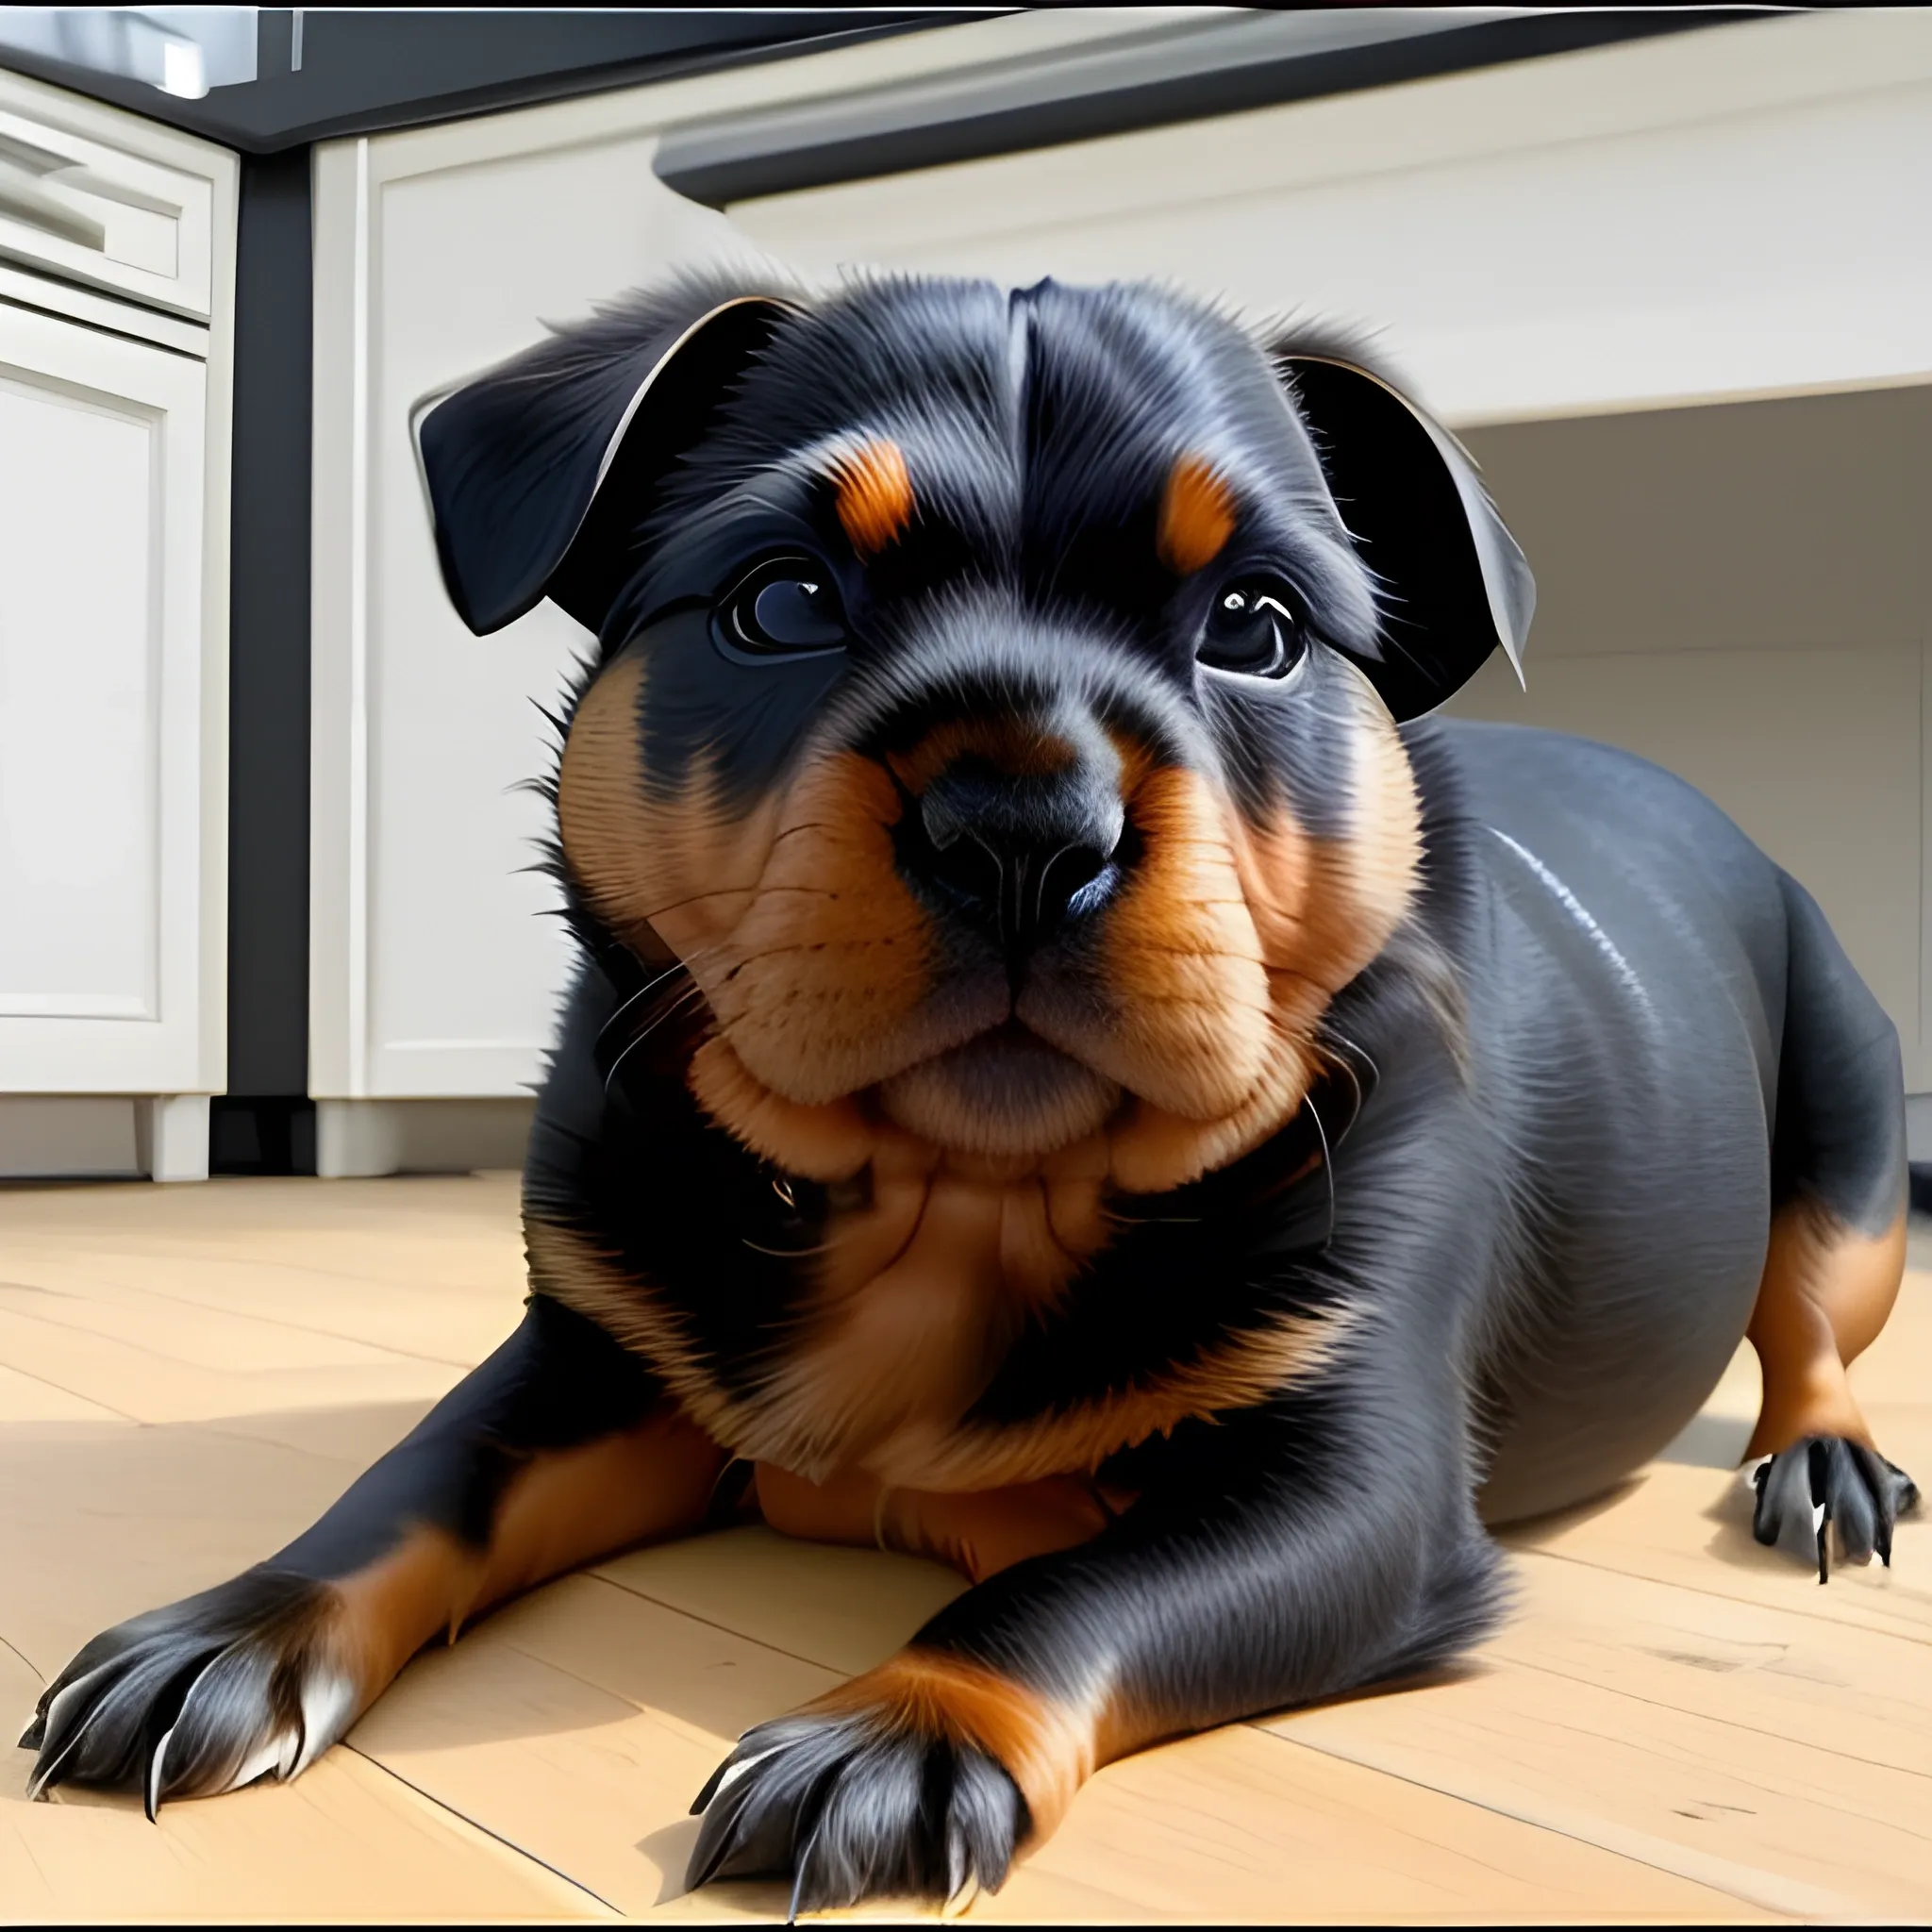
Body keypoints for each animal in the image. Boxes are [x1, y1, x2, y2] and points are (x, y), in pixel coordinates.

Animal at [18, 272, 1916, 1916]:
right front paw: (238, 1621)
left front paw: (900, 1731)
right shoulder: (593, 1359)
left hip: (1847, 1126)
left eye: (1256, 628)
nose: (1020, 823)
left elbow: (1083, 1584)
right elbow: (423, 1481)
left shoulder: (1352, 1487)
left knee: (1809, 1317)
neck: (958, 1187)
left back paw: (1821, 1466)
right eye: (782, 602)